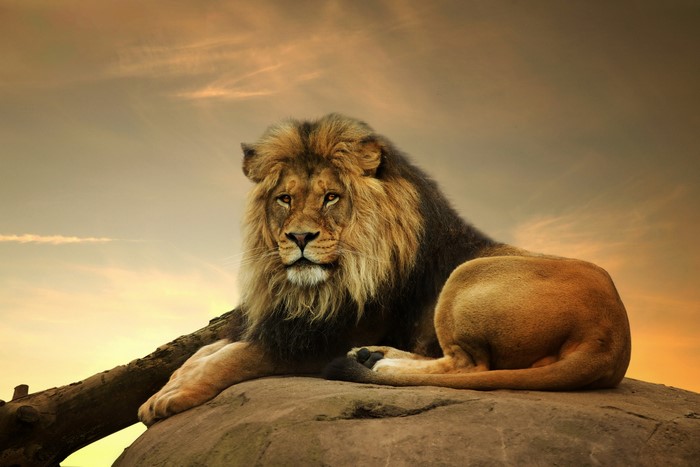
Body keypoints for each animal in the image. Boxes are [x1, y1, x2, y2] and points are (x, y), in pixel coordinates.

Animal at [138, 114, 631, 426]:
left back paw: (376, 363)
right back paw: (374, 357)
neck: (315, 289)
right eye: (284, 199)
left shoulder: (319, 340)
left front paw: (174, 397)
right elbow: (206, 351)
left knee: (468, 365)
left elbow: (235, 357)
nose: (299, 238)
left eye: (330, 198)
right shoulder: (286, 323)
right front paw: (166, 388)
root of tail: (611, 337)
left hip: (466, 277)